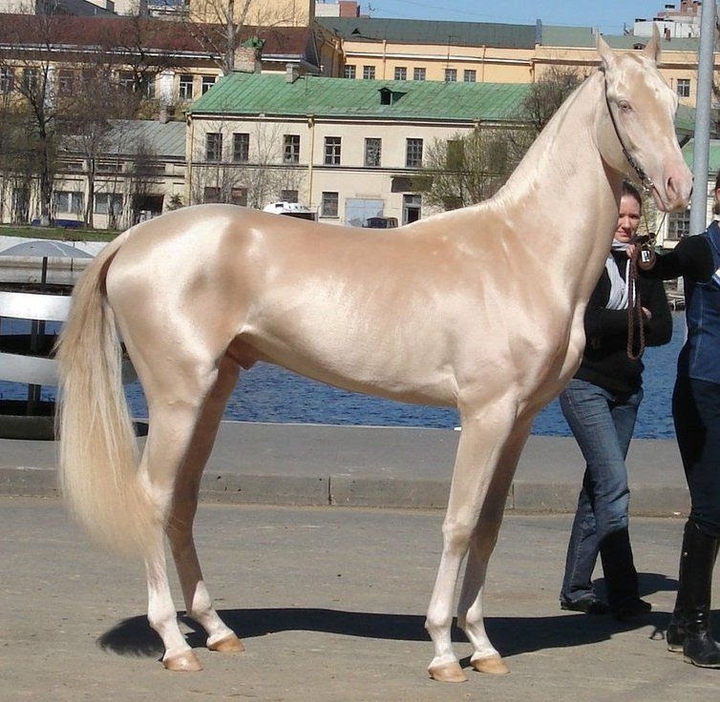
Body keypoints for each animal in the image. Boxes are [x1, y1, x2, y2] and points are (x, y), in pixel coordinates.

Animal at [56, 31, 691, 683]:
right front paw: (443, 650)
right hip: (177, 398)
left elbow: (488, 527)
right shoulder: (485, 414)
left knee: (182, 501)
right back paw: (174, 643)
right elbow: (459, 524)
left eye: (672, 100)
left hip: (211, 395)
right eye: (622, 103)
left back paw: (216, 631)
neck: (522, 251)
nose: (680, 187)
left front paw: (483, 645)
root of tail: (132, 239)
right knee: (153, 500)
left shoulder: (519, 422)